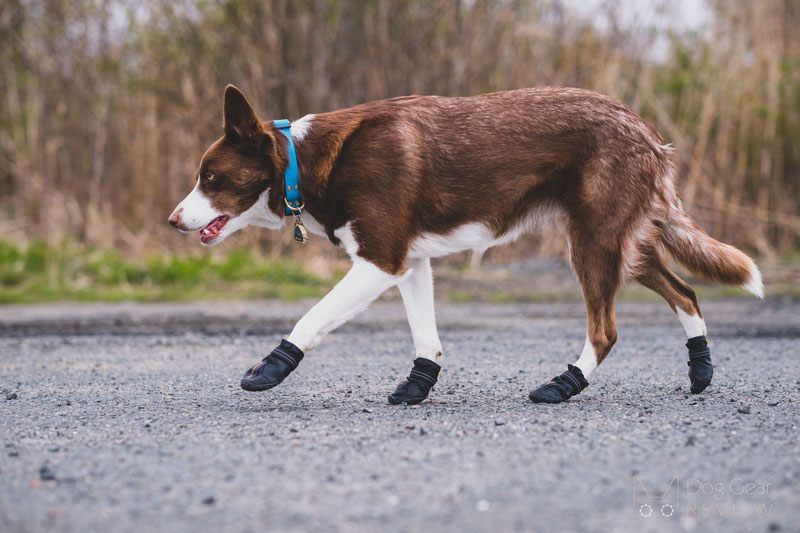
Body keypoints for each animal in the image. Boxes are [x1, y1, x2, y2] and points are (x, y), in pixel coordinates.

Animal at [167, 86, 764, 404]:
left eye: (211, 179)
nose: (172, 220)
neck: (303, 162)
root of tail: (645, 129)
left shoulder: (379, 261)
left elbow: (310, 318)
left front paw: (271, 369)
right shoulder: (409, 264)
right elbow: (425, 337)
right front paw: (417, 387)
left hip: (593, 243)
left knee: (606, 330)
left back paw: (564, 385)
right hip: (623, 246)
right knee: (685, 292)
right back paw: (701, 371)